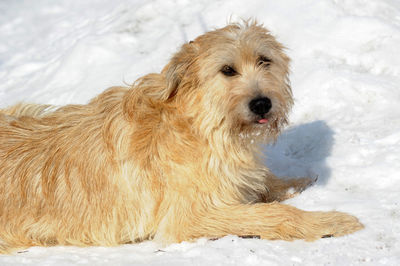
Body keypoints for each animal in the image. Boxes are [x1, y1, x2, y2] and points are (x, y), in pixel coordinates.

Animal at [0, 20, 362, 254]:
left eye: (264, 60)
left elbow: (266, 184)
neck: (202, 124)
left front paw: (297, 182)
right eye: (227, 70)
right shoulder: (189, 218)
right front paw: (331, 221)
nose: (262, 103)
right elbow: (272, 214)